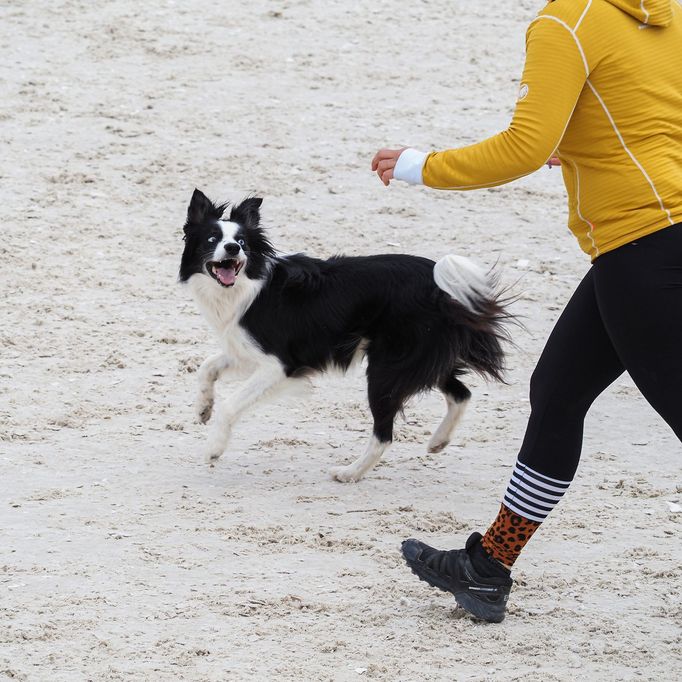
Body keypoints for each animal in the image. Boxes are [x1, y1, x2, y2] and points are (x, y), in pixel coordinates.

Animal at [178, 189, 508, 480]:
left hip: (385, 369)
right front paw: (203, 408)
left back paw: (350, 473)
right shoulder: (246, 352)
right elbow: (207, 367)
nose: (232, 249)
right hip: (416, 358)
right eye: (212, 239)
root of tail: (441, 287)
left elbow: (230, 404)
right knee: (461, 393)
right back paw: (438, 440)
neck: (247, 285)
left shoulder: (279, 365)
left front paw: (214, 448)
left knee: (385, 433)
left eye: (241, 242)